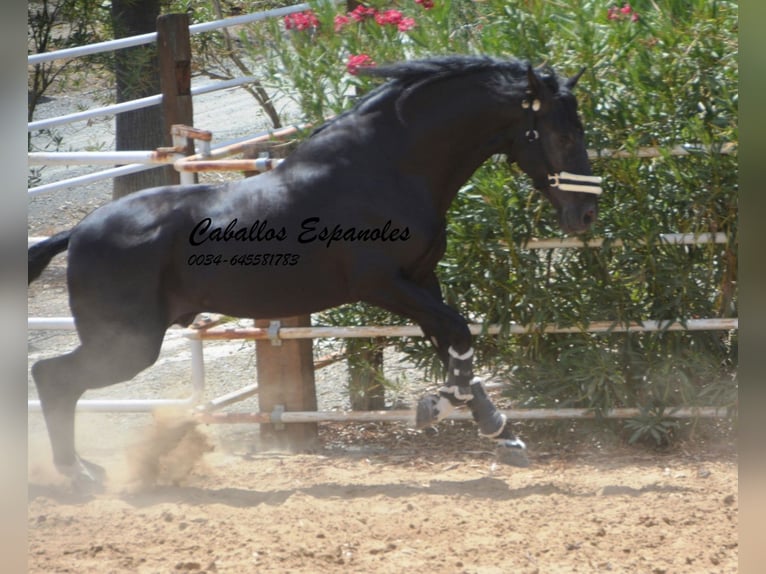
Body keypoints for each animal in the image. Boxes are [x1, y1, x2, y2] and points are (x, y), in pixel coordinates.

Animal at [28, 54, 608, 488]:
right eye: (560, 134)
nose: (585, 214)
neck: (385, 168)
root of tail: (76, 233)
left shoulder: (422, 279)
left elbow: (453, 341)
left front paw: (500, 432)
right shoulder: (382, 285)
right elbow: (458, 331)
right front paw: (440, 409)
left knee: (57, 380)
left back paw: (83, 470)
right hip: (128, 343)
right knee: (53, 378)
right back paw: (77, 474)